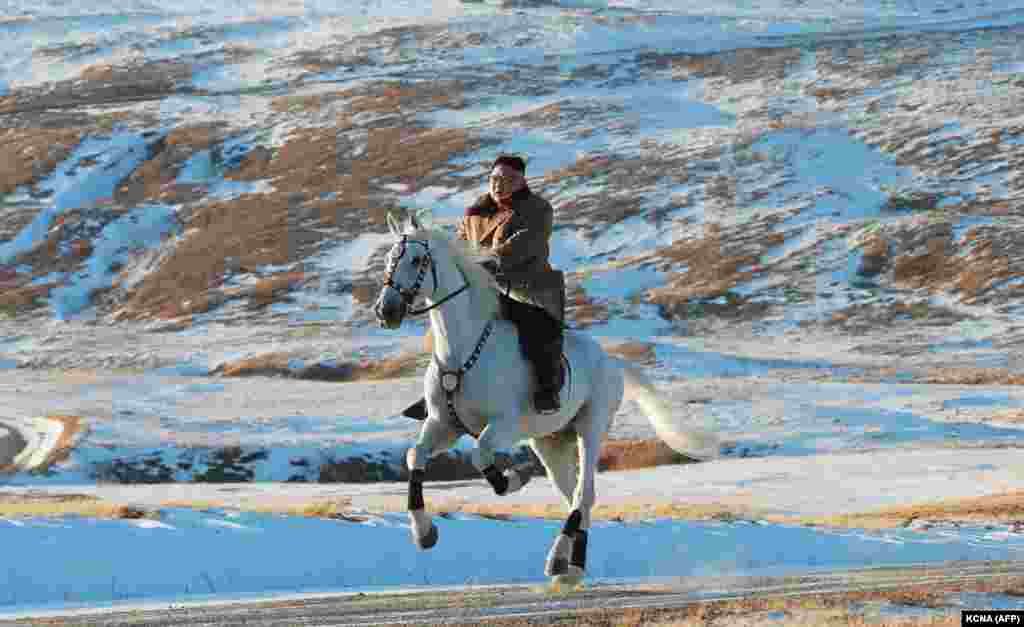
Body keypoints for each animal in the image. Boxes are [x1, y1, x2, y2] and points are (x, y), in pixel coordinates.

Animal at [372, 215, 716, 586]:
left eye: (417, 260)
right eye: (389, 259)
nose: (386, 311)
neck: (462, 352)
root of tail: (611, 361)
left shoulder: (504, 425)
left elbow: (480, 454)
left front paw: (514, 478)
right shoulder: (444, 424)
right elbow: (415, 455)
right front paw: (424, 533)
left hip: (590, 429)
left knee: (583, 494)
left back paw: (559, 561)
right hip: (550, 443)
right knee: (575, 498)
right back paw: (572, 567)